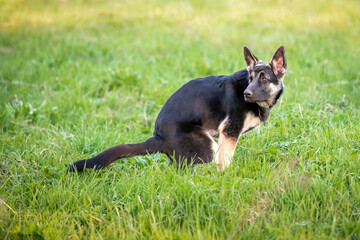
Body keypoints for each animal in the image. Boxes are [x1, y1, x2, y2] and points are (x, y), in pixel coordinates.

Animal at [67, 45, 286, 172]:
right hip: (206, 147)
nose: (246, 94)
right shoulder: (229, 133)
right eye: (250, 78)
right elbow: (225, 162)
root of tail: (158, 137)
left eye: (263, 79)